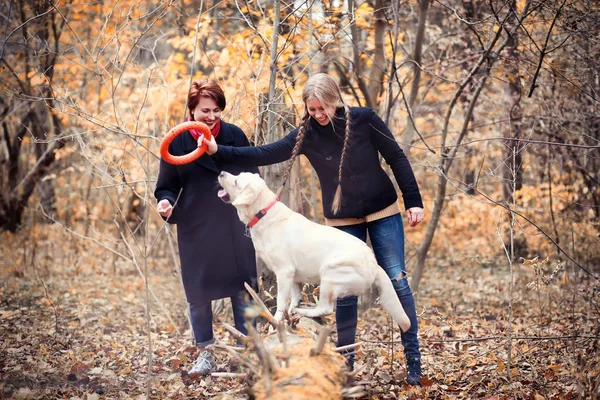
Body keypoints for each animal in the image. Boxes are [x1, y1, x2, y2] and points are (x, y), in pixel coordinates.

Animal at [218, 172, 410, 332]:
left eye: (236, 181)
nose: (221, 173)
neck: (263, 213)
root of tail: (374, 264)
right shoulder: (294, 276)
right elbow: (294, 297)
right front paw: (290, 312)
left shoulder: (284, 272)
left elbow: (281, 302)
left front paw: (277, 322)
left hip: (330, 274)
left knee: (326, 308)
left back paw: (306, 311)